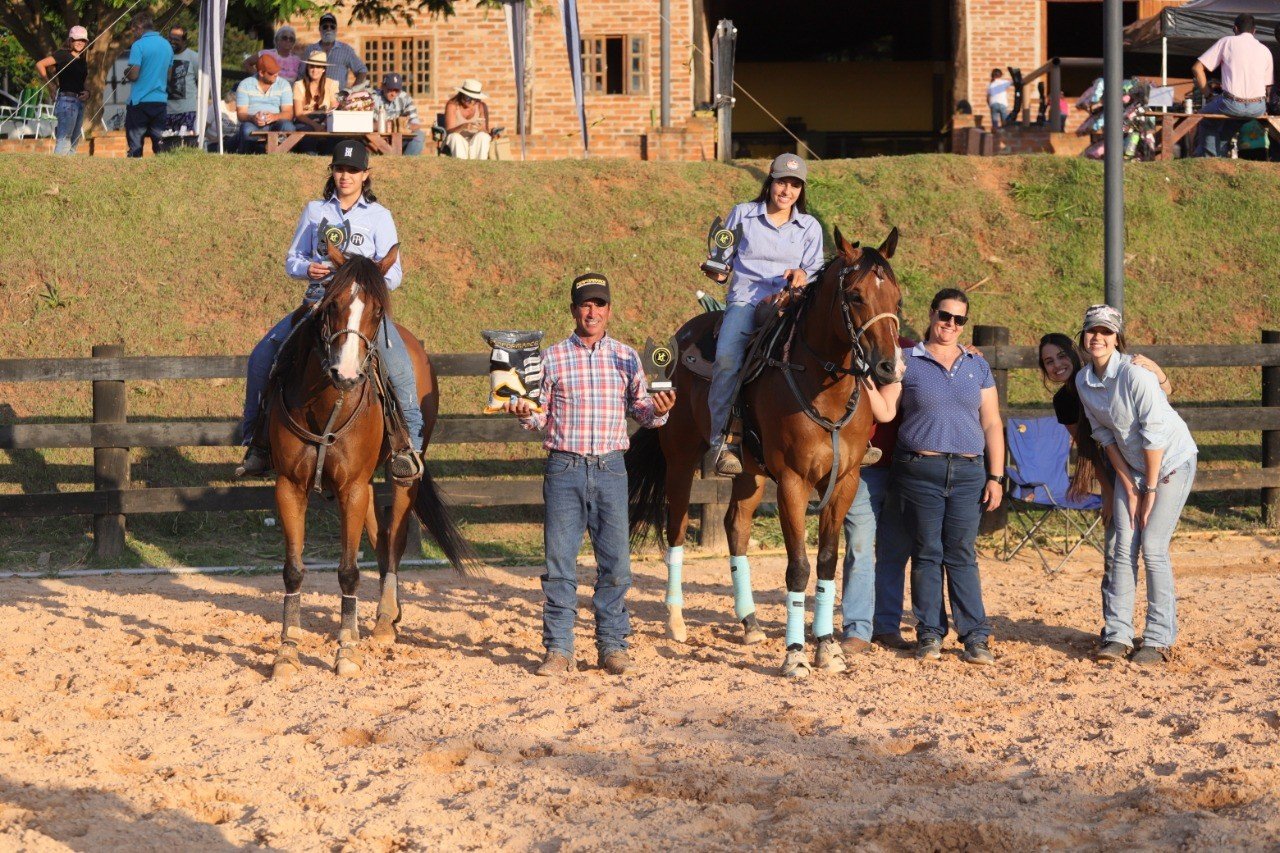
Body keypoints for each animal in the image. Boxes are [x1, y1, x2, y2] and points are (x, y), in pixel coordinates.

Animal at [268, 240, 471, 676]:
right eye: (331, 304)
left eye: (377, 311)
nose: (346, 374)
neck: (328, 404)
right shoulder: (290, 487)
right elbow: (293, 571)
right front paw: (287, 649)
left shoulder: (353, 487)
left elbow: (348, 571)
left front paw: (346, 649)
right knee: (379, 538)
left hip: (400, 476)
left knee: (394, 539)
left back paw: (383, 620)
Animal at [627, 227, 906, 676]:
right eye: (857, 295)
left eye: (897, 300)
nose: (888, 368)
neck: (822, 384)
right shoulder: (793, 482)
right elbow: (798, 568)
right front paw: (795, 655)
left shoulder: (843, 482)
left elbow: (826, 563)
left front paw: (827, 647)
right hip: (681, 459)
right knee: (676, 527)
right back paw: (676, 620)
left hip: (750, 472)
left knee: (735, 527)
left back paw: (750, 623)